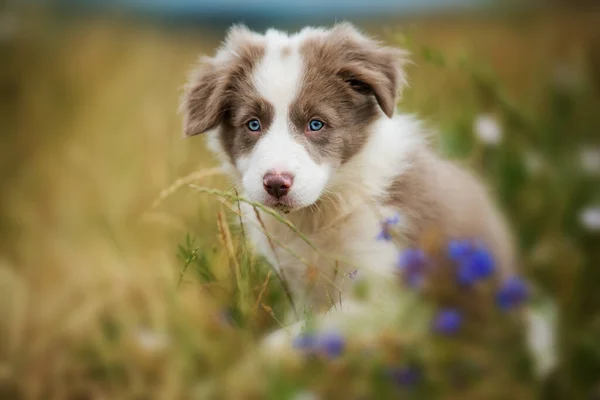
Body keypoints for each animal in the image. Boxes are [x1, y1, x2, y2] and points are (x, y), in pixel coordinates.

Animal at [180, 21, 552, 372]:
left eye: (316, 124)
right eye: (253, 125)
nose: (276, 183)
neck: (321, 212)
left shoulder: (387, 285)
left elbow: (312, 331)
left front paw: (254, 364)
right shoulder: (300, 284)